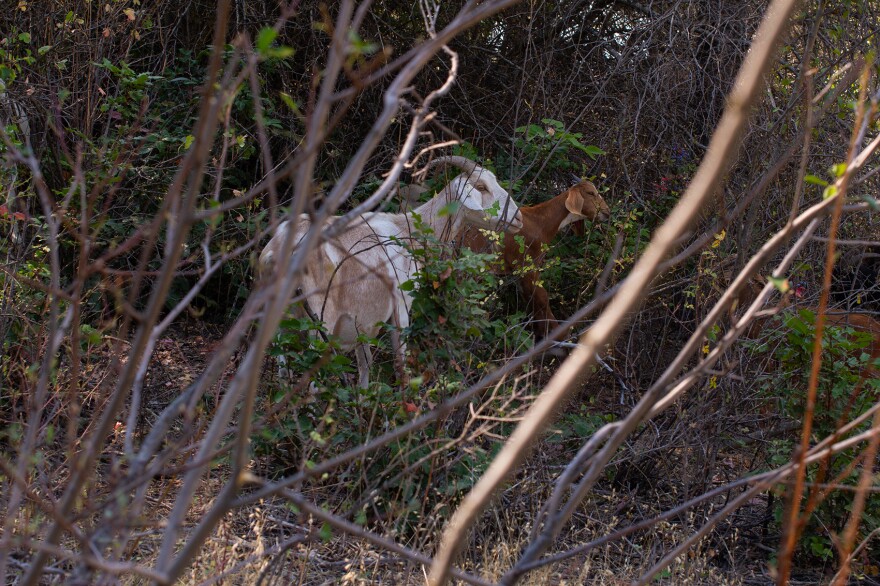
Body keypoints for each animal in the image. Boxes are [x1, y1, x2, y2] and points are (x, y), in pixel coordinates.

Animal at [260, 156, 524, 388]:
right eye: (481, 186)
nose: (519, 218)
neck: (407, 232)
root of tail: (277, 253)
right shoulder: (402, 303)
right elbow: (400, 361)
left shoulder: (363, 322)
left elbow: (365, 363)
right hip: (318, 323)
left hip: (281, 325)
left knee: (282, 370)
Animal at [460, 180, 610, 339]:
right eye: (590, 192)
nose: (607, 212)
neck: (539, 222)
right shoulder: (527, 265)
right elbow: (542, 298)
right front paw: (557, 335)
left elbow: (529, 299)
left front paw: (539, 332)